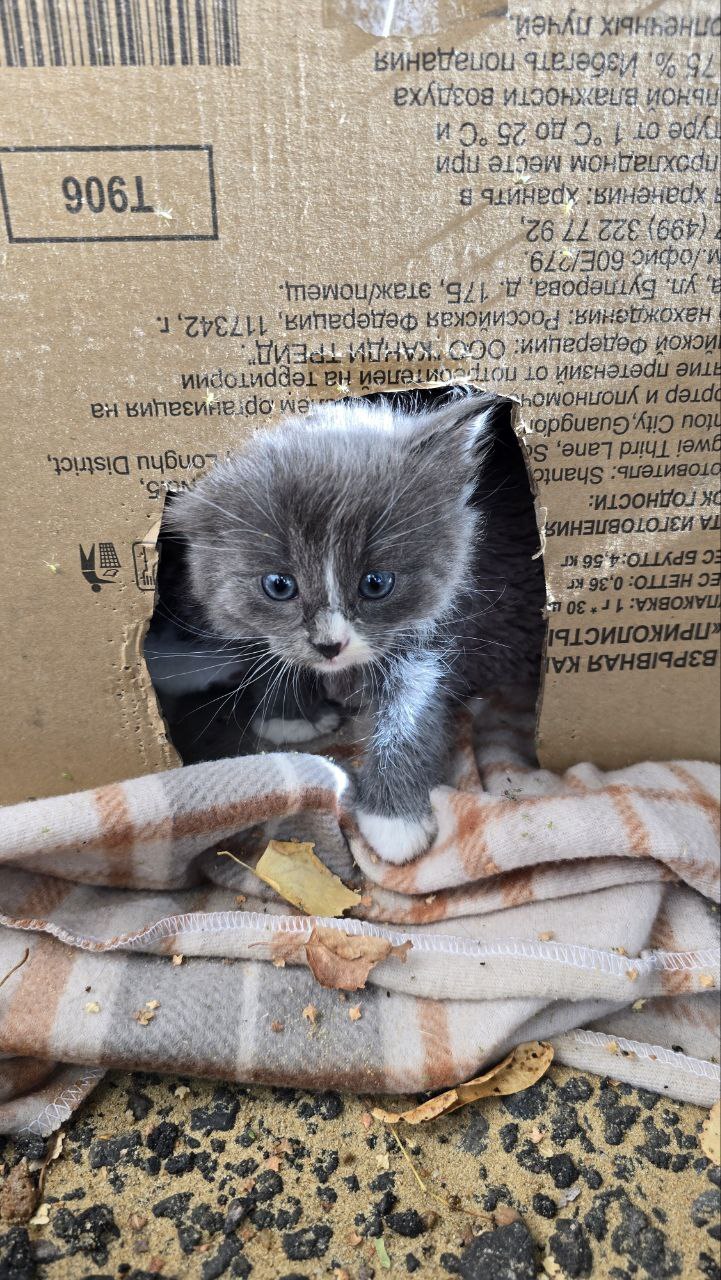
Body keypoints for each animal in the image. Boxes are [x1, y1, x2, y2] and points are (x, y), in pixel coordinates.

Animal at [165, 394, 548, 865]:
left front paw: (394, 821)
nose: (330, 645)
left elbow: (411, 709)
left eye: (376, 583)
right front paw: (288, 715)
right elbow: (271, 652)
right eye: (279, 585)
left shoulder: (433, 634)